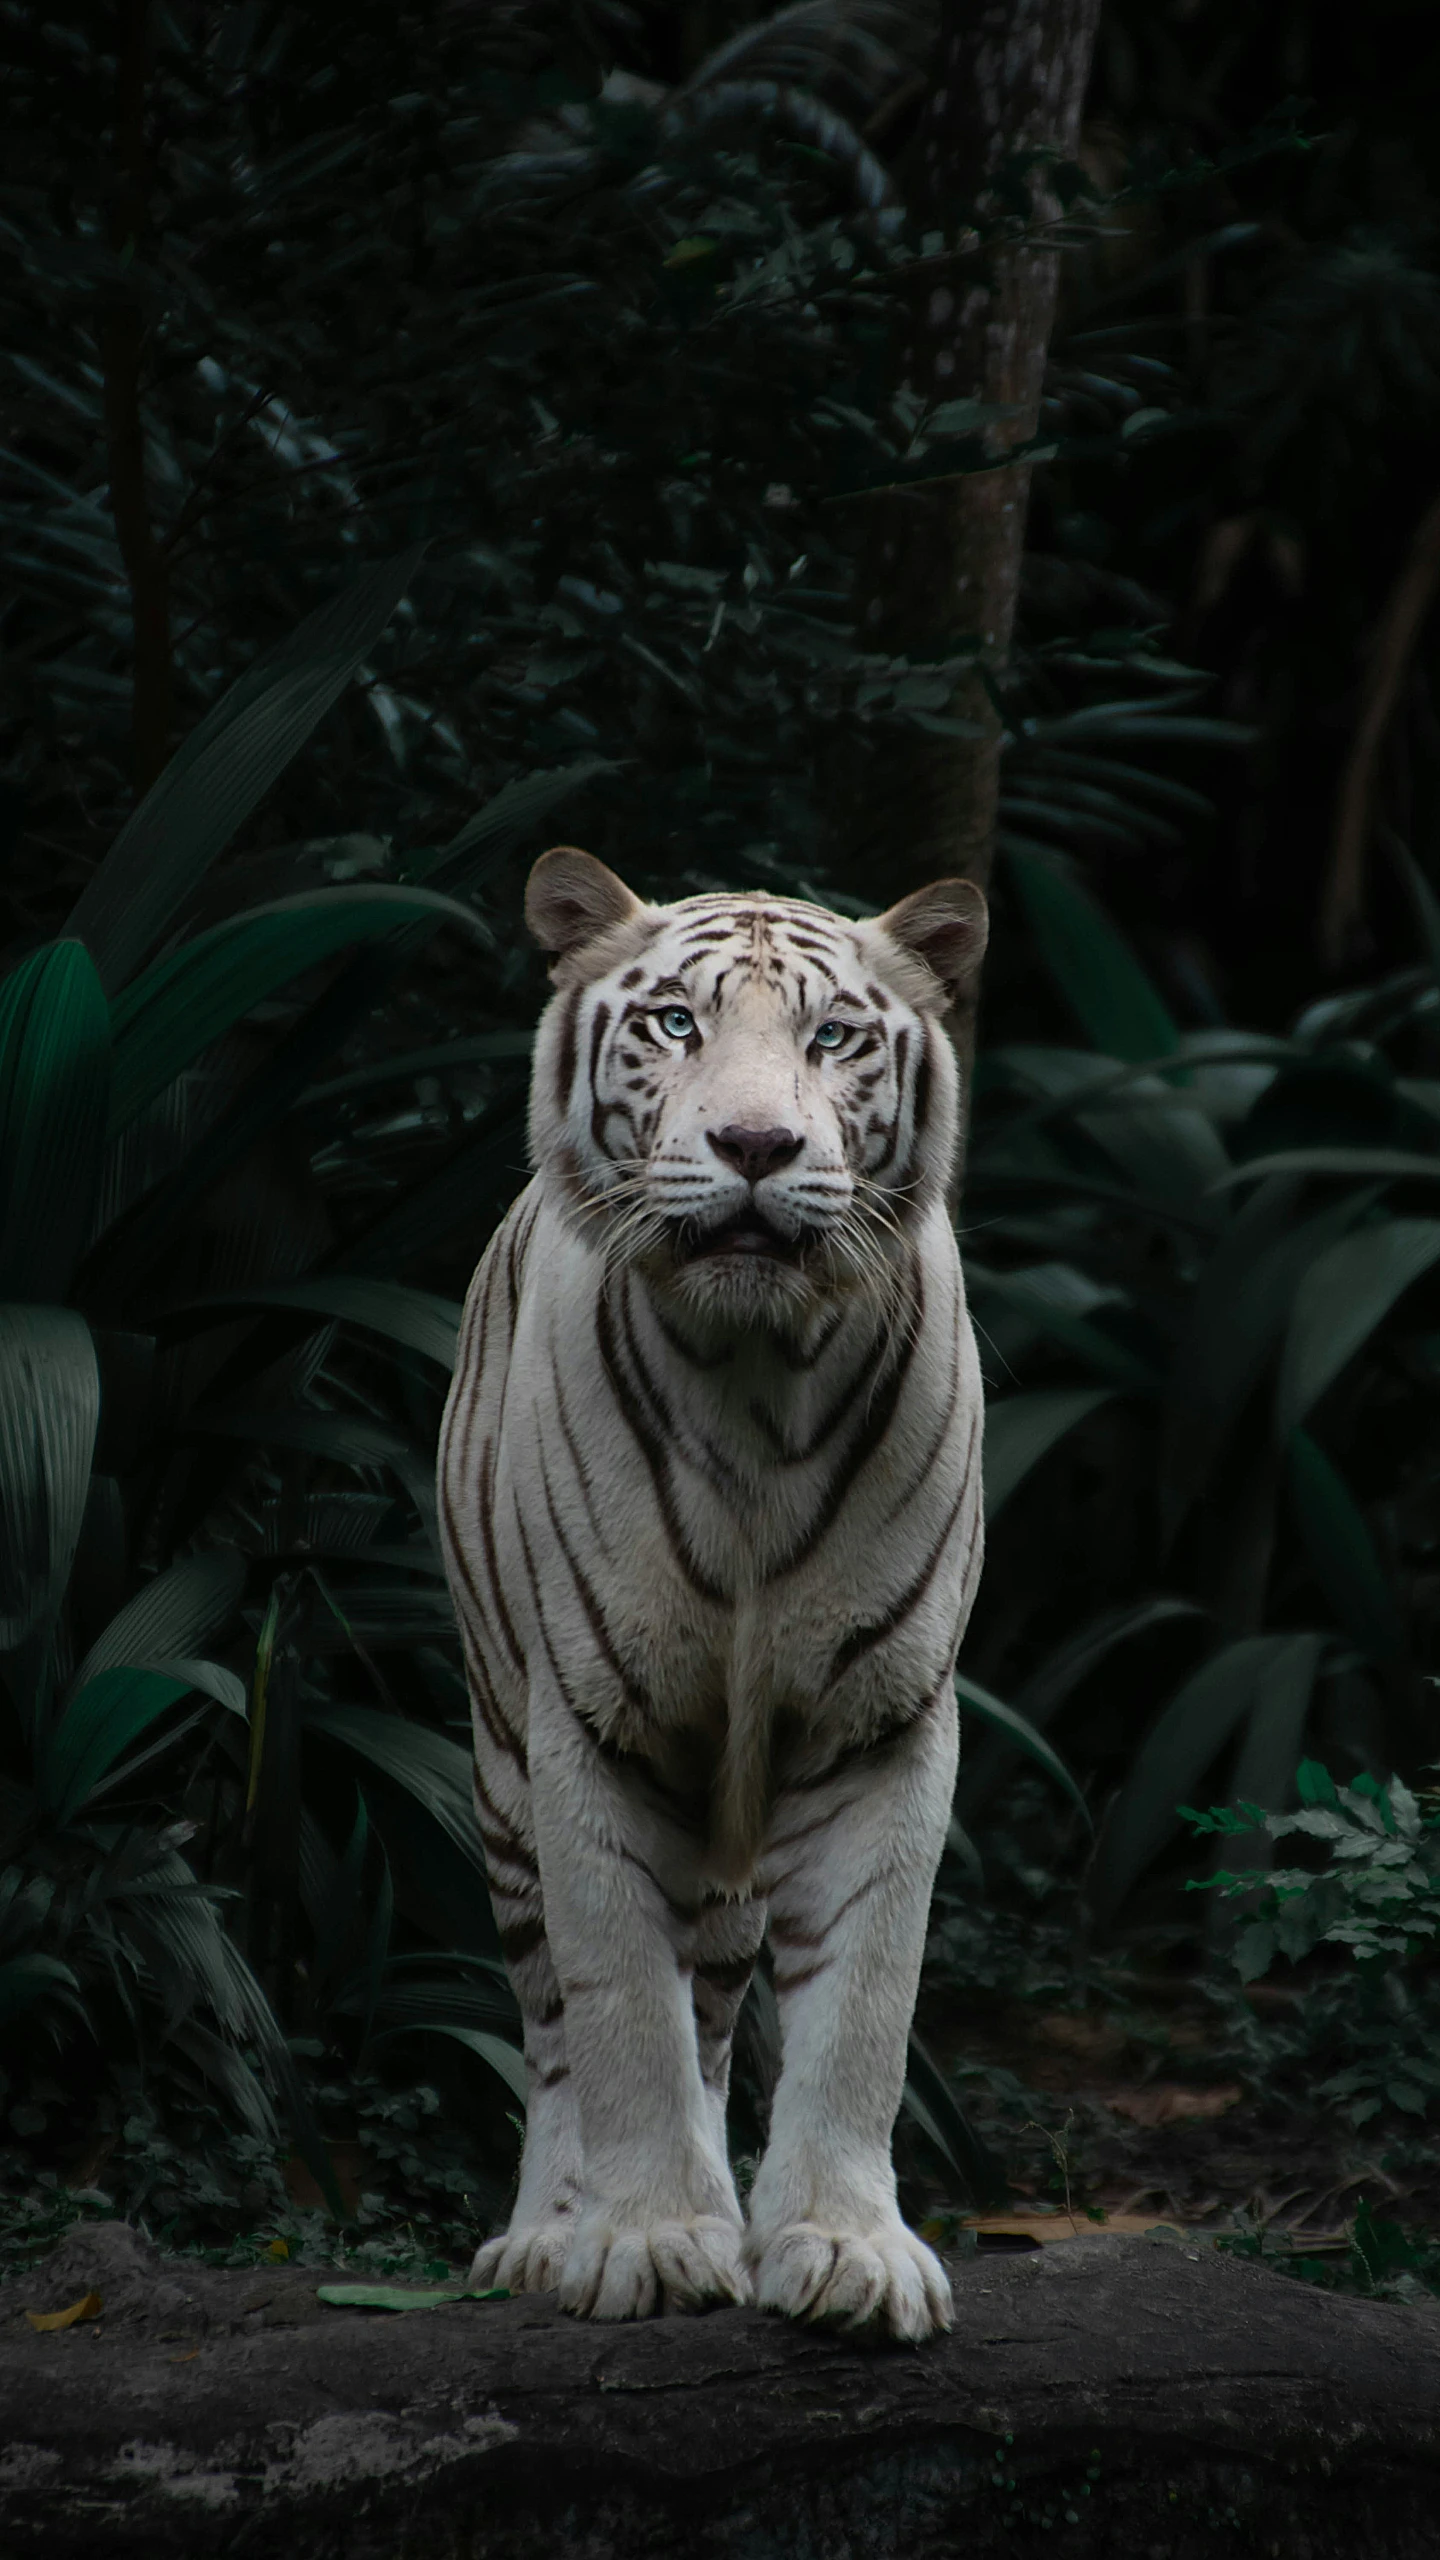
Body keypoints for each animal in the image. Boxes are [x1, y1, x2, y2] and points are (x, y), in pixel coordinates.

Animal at [430, 844, 978, 2344]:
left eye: (833, 1036)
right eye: (676, 1024)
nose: (754, 1147)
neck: (756, 1379)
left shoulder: (882, 1723)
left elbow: (864, 2008)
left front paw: (844, 2250)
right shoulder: (588, 1726)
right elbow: (621, 2008)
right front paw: (651, 2241)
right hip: (499, 1771)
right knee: (555, 2021)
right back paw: (547, 2235)